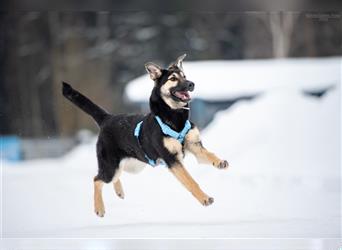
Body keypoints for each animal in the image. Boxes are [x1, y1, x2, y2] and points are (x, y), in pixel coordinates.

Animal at [62, 54, 228, 217]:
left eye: (185, 76)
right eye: (173, 78)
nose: (191, 84)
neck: (173, 116)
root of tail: (107, 118)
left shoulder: (195, 146)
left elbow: (209, 154)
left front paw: (219, 162)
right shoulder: (172, 160)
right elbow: (191, 181)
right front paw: (204, 198)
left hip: (132, 166)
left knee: (114, 176)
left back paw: (119, 191)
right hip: (111, 167)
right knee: (97, 179)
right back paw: (99, 208)